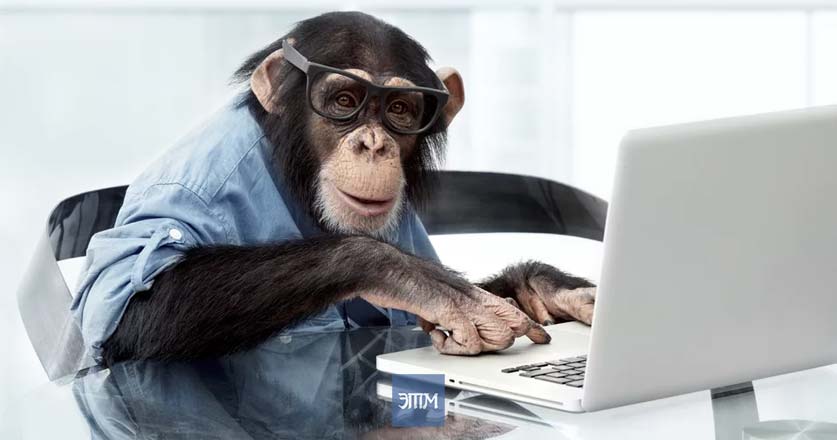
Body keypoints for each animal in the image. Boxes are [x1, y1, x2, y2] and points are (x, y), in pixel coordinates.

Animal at [70, 12, 596, 365]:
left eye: (400, 110)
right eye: (345, 101)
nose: (373, 143)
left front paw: (545, 288)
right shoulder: (198, 181)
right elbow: (130, 303)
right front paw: (417, 279)